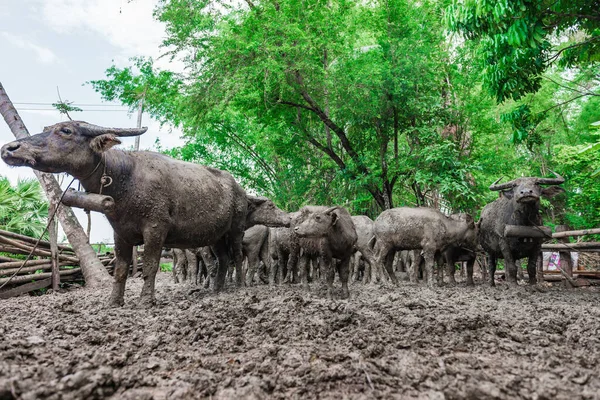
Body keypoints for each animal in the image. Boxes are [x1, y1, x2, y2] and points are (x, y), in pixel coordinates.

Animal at [1, 121, 248, 306]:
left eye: (66, 130)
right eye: (46, 128)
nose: (9, 148)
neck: (126, 179)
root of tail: (239, 189)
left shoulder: (156, 228)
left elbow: (150, 266)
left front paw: (146, 301)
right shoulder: (120, 234)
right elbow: (120, 270)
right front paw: (114, 302)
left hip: (236, 229)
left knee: (236, 256)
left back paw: (240, 286)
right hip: (217, 235)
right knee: (223, 259)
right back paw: (217, 290)